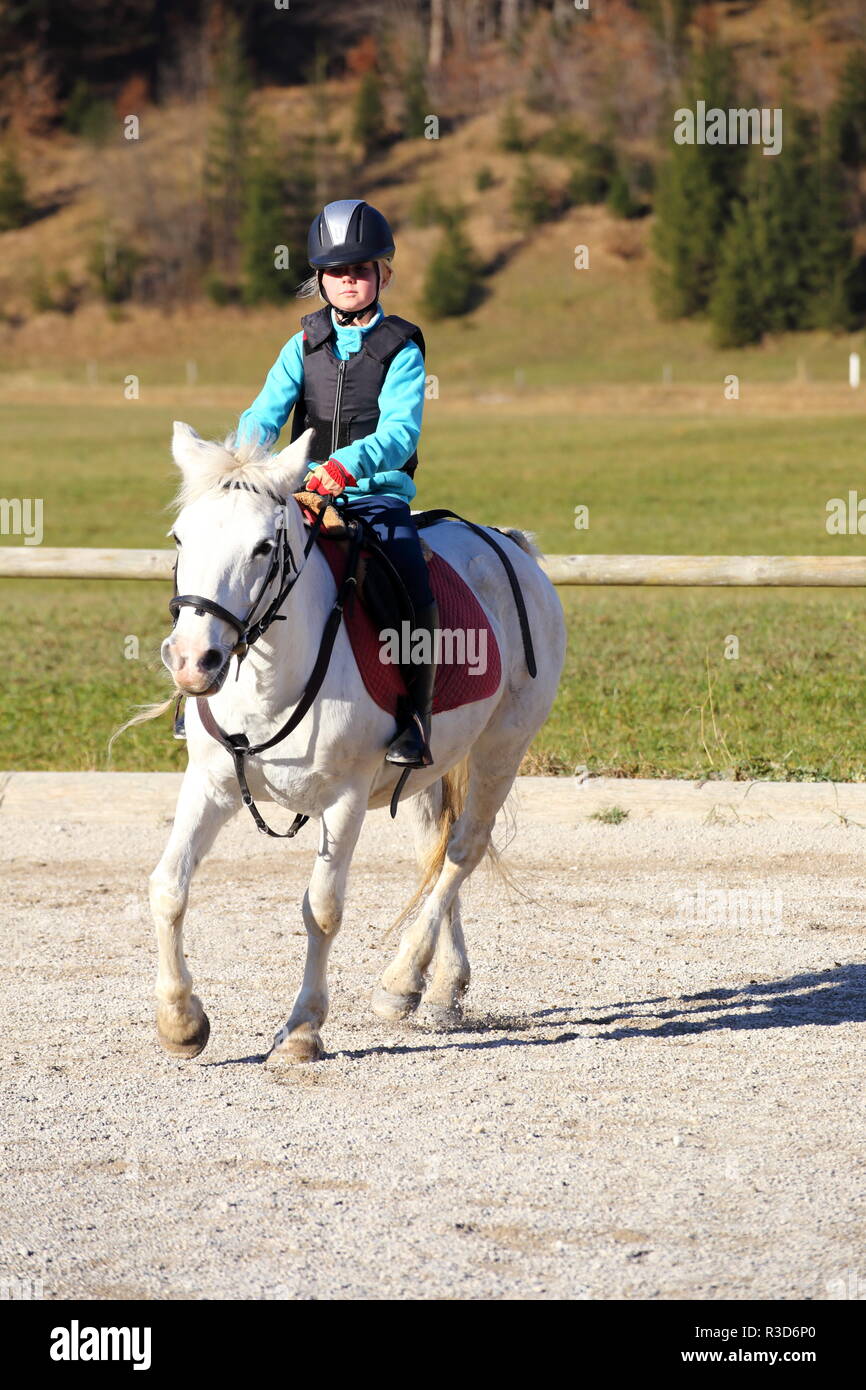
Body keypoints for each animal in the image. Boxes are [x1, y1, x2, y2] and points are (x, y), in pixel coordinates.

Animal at [148, 422, 567, 1061]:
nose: (194, 661)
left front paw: (301, 1029)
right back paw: (440, 986)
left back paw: (400, 982)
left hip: (504, 747)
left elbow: (322, 910)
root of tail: (511, 546)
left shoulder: (343, 800)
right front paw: (181, 1022)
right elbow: (170, 886)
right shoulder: (211, 785)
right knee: (434, 850)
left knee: (462, 851)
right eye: (180, 536)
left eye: (263, 548)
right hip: (428, 769)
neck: (271, 677)